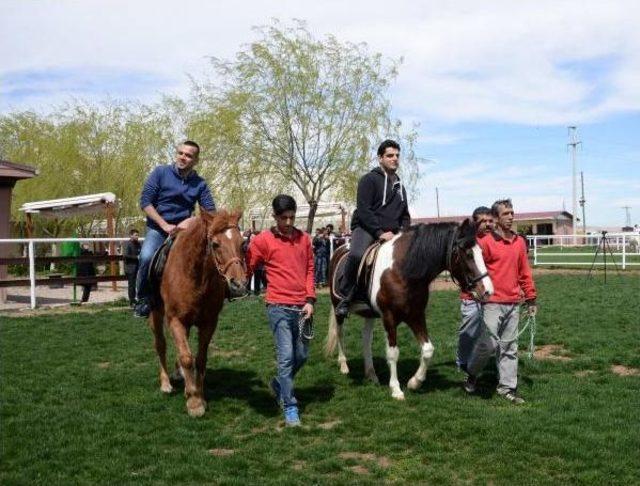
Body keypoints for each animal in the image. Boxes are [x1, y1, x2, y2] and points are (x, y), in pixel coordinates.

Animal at [148, 211, 248, 416]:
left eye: (242, 243)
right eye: (215, 244)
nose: (239, 284)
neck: (195, 276)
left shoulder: (209, 322)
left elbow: (200, 359)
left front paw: (198, 394)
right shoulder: (175, 320)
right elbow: (187, 358)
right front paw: (194, 402)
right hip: (156, 315)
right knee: (160, 345)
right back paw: (166, 384)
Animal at [324, 220, 496, 398]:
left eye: (481, 252)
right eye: (468, 254)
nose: (488, 291)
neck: (402, 270)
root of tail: (339, 249)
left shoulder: (416, 315)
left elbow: (428, 349)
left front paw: (415, 382)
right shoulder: (389, 318)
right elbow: (393, 353)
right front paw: (396, 389)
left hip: (369, 314)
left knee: (366, 339)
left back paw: (371, 373)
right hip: (338, 308)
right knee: (340, 333)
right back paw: (344, 365)